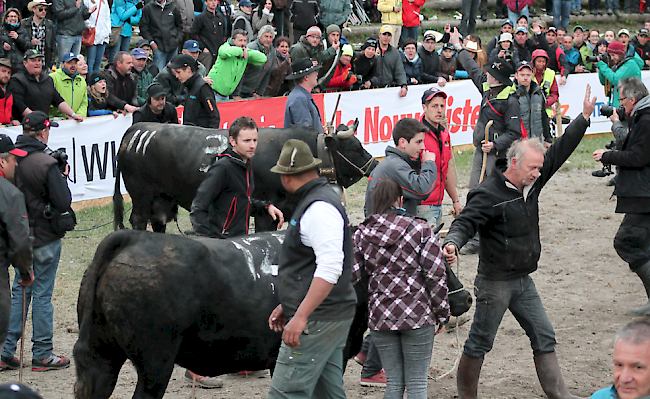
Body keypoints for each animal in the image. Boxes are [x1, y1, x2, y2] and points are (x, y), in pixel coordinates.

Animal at [110, 123, 374, 233]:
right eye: (355, 147)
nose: (373, 165)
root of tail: (136, 130)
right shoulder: (267, 213)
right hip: (142, 195)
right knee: (138, 220)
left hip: (162, 199)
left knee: (158, 222)